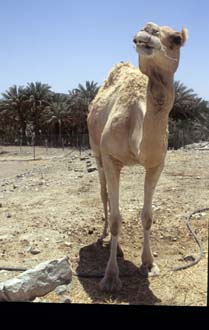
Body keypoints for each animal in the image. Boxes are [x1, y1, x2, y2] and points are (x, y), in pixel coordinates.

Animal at [86, 21, 188, 292]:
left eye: (176, 38)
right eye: (144, 29)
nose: (147, 31)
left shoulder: (156, 164)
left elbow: (147, 216)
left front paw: (149, 264)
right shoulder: (111, 158)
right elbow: (116, 219)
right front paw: (111, 277)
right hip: (96, 151)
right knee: (104, 195)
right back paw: (104, 238)